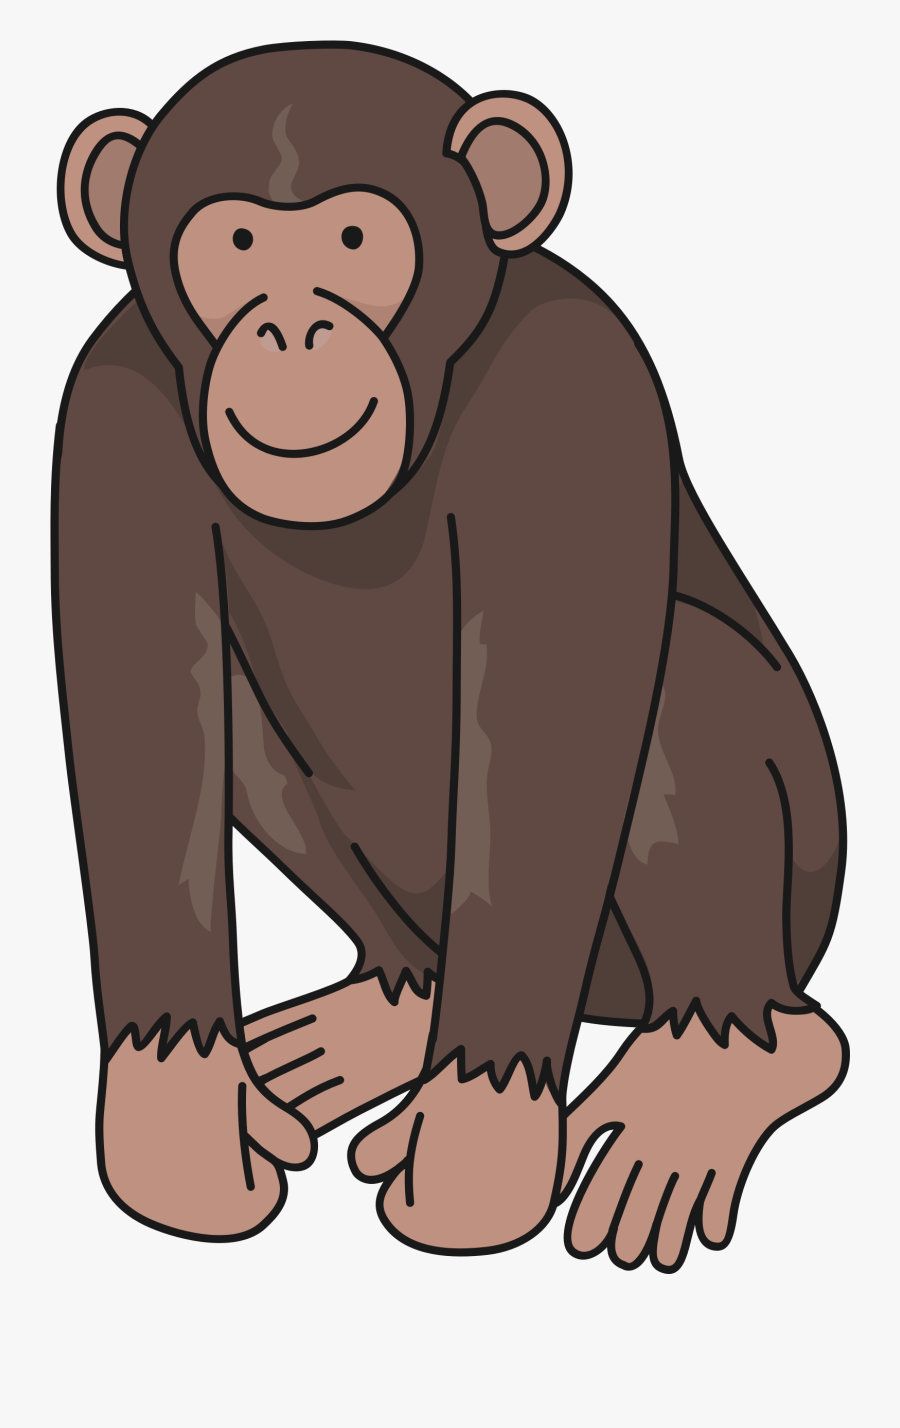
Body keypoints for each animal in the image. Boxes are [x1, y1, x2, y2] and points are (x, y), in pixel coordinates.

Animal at [54, 42, 847, 1263]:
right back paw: (393, 1008)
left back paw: (711, 1065)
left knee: (687, 688)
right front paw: (180, 1123)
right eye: (234, 248)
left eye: (354, 241)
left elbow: (546, 728)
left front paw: (479, 1139)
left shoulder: (575, 378)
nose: (290, 329)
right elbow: (144, 716)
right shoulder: (109, 409)